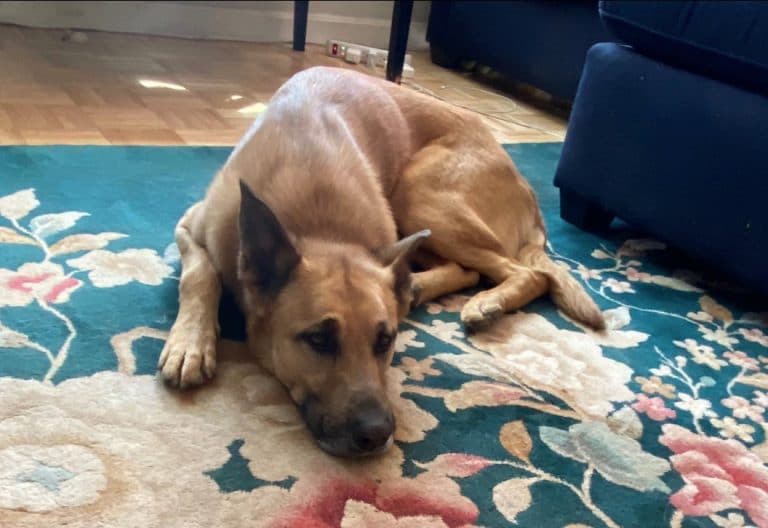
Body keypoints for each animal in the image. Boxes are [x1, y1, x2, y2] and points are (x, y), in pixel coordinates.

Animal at [158, 67, 608, 458]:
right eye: (318, 340)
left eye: (385, 340)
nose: (377, 435)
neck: (320, 226)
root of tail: (527, 188)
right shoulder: (189, 226)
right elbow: (200, 276)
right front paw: (190, 343)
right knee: (473, 269)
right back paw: (424, 287)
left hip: (420, 193)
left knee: (525, 273)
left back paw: (482, 301)